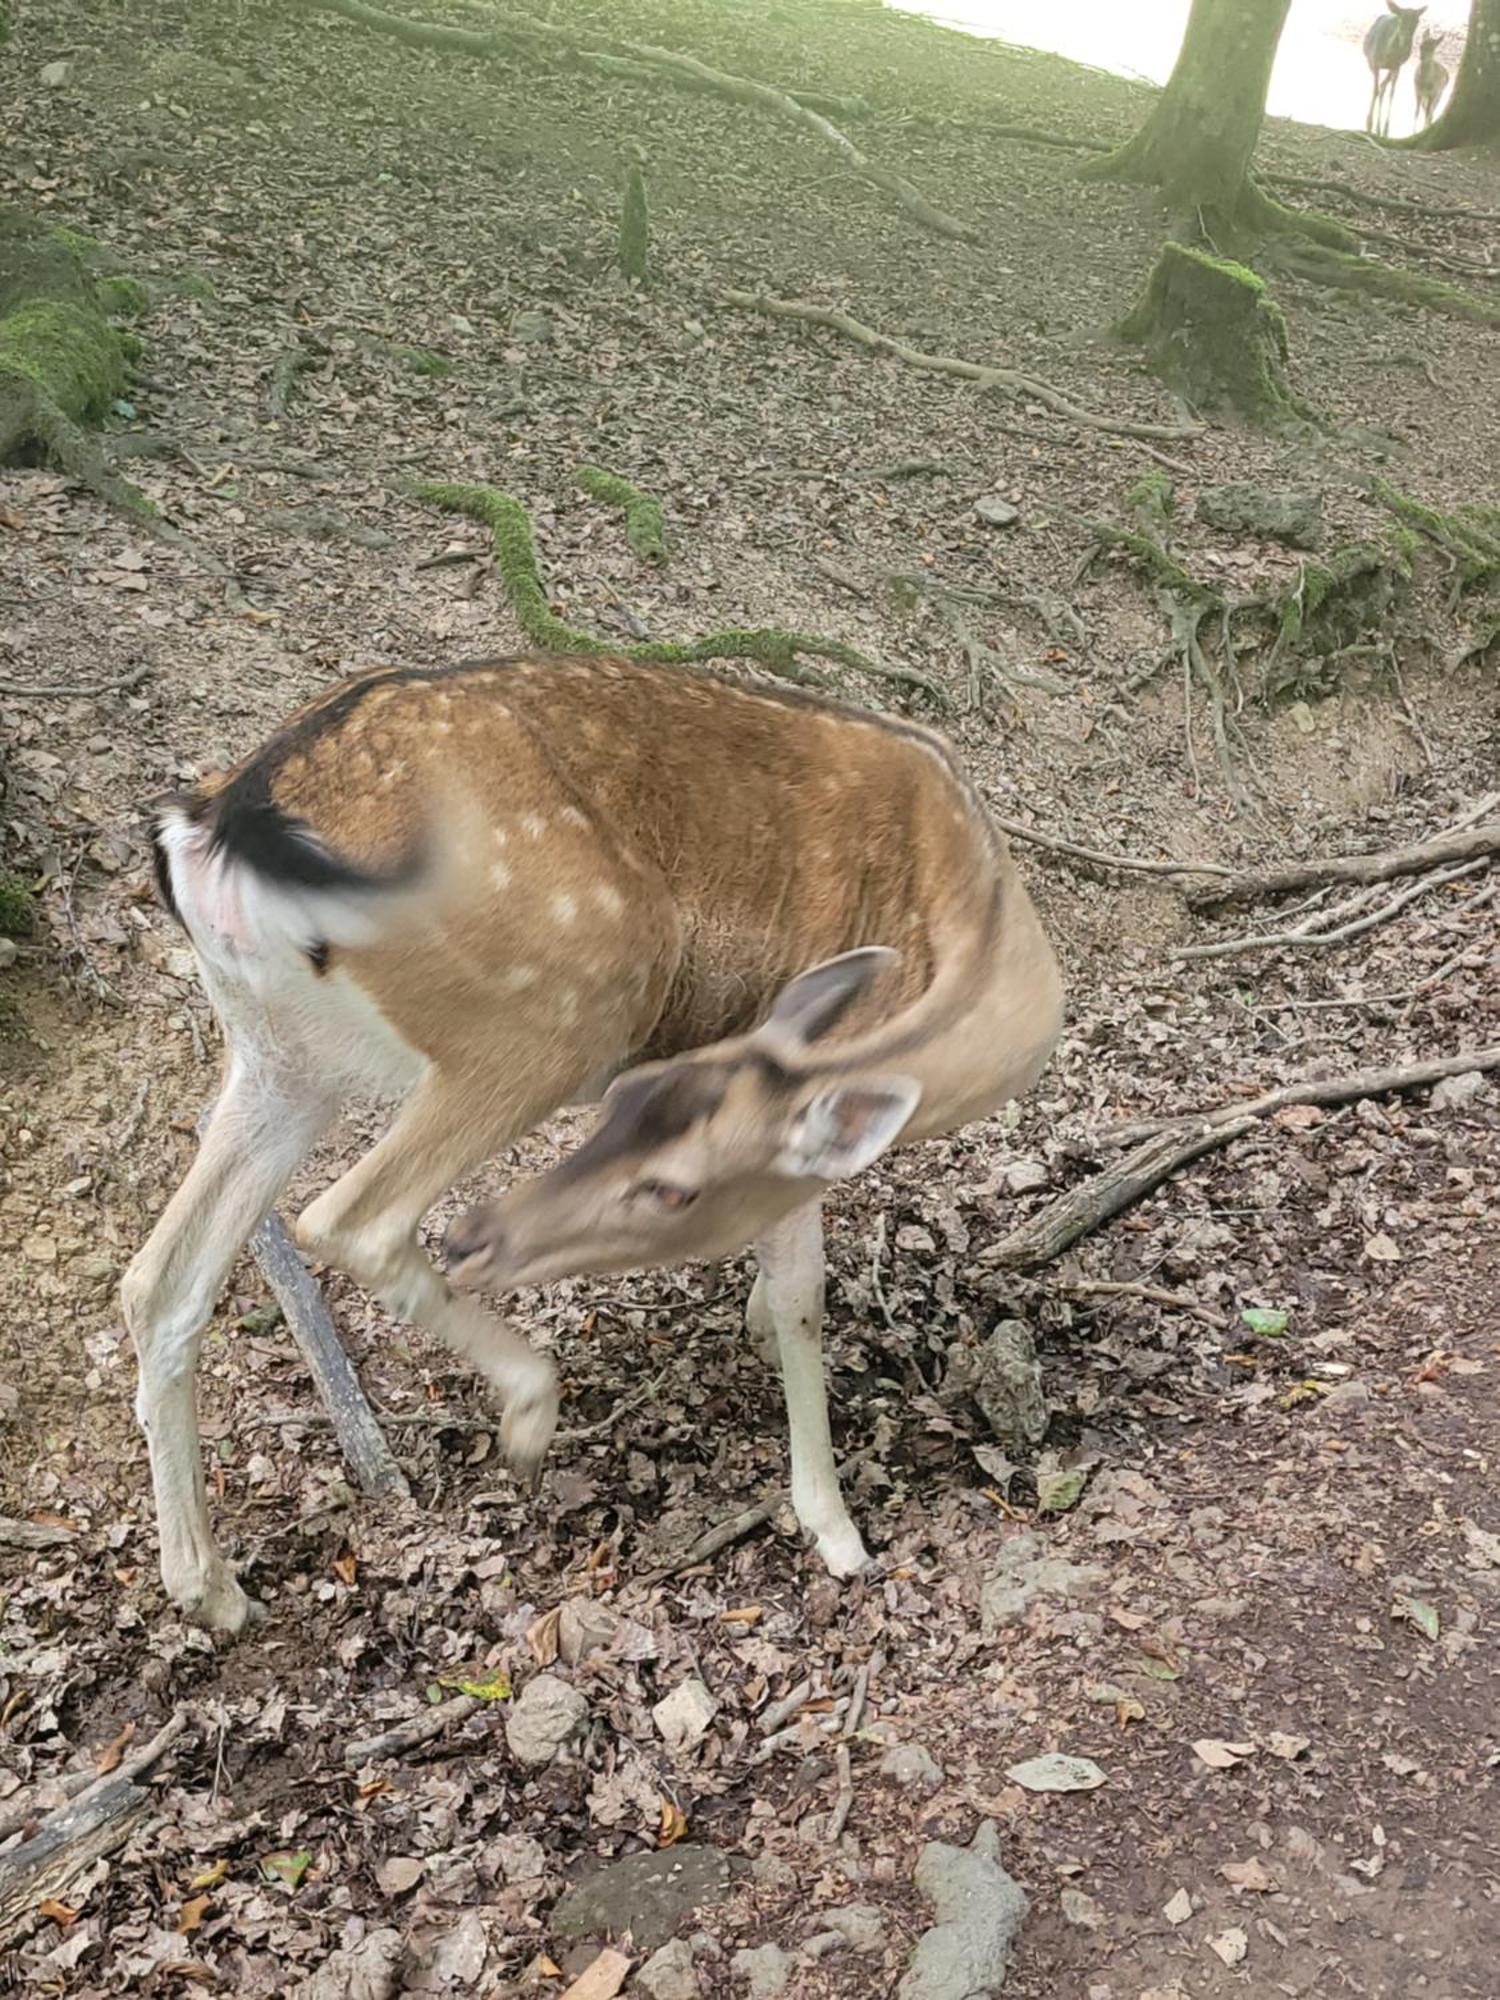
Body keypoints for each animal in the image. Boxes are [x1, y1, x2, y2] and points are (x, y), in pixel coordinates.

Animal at [126, 648, 1072, 1632]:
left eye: (639, 1102)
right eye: (671, 1184)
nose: (485, 1236)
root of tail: (213, 824)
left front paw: (752, 1325)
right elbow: (804, 1293)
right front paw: (838, 1532)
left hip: (283, 1056)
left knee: (159, 1281)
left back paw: (211, 1587)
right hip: (555, 1009)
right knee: (348, 1217)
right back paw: (530, 1412)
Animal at [1368, 0, 1424, 136]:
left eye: (1417, 23)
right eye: (1400, 20)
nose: (1406, 44)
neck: (1387, 55)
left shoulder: (1397, 66)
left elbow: (1392, 93)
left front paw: (1386, 130)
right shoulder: (1375, 62)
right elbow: (1375, 90)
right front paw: (1368, 123)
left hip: (1393, 68)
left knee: (1383, 87)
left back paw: (1379, 129)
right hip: (1371, 62)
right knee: (1379, 87)